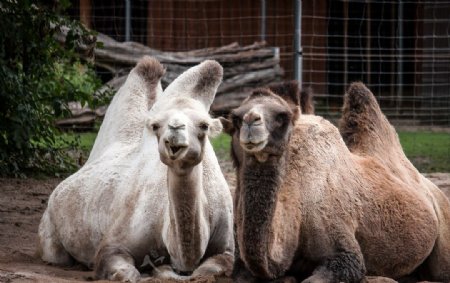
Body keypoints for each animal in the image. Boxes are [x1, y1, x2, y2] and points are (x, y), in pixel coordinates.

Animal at [38, 56, 234, 282]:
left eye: (204, 125)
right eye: (156, 126)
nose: (175, 129)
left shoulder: (226, 249)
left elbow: (208, 270)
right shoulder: (113, 245)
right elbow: (126, 272)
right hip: (50, 231)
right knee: (56, 255)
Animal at [221, 83, 450, 282]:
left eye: (282, 116)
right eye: (236, 117)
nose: (251, 120)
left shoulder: (343, 248)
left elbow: (340, 266)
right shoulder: (241, 260)